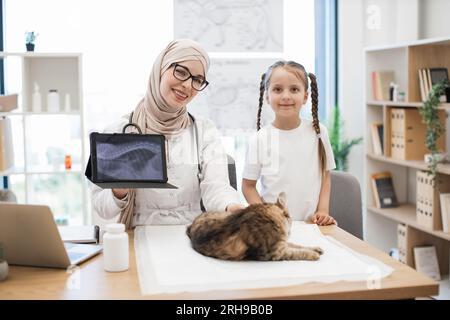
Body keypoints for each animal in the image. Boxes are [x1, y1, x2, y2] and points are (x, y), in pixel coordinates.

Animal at [186, 192, 324, 260]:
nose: (289, 232)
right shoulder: (275, 252)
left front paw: (316, 248)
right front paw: (313, 254)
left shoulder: (282, 244)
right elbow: (297, 252)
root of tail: (192, 225)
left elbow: (297, 245)